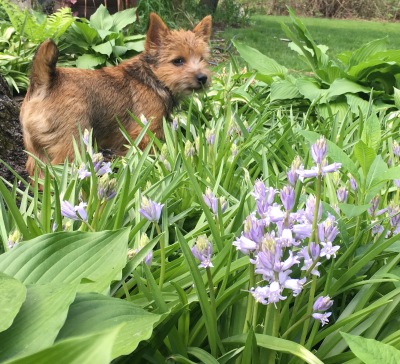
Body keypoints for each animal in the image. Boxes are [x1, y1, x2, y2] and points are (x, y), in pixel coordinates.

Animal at [19, 14, 212, 177]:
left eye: (202, 59)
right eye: (178, 61)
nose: (203, 77)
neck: (151, 78)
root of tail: (47, 82)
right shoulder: (144, 134)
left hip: (37, 151)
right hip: (73, 145)